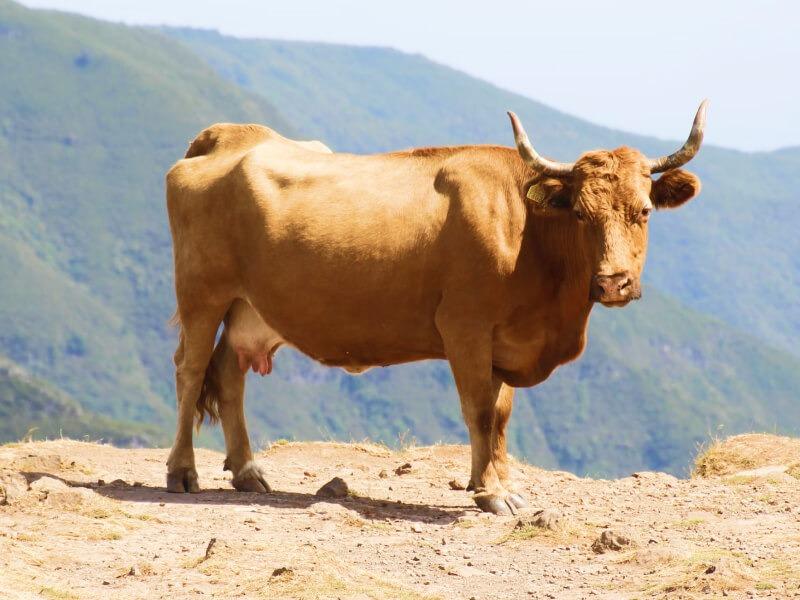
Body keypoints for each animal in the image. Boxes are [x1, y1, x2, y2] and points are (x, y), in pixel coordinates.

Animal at [165, 102, 708, 514]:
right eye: (579, 213)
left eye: (644, 210)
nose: (614, 281)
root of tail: (230, 134)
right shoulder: (464, 326)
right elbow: (480, 411)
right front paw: (491, 493)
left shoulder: (505, 341)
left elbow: (501, 414)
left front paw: (500, 484)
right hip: (201, 293)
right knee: (190, 370)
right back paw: (182, 472)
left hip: (249, 307)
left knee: (228, 371)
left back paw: (247, 471)